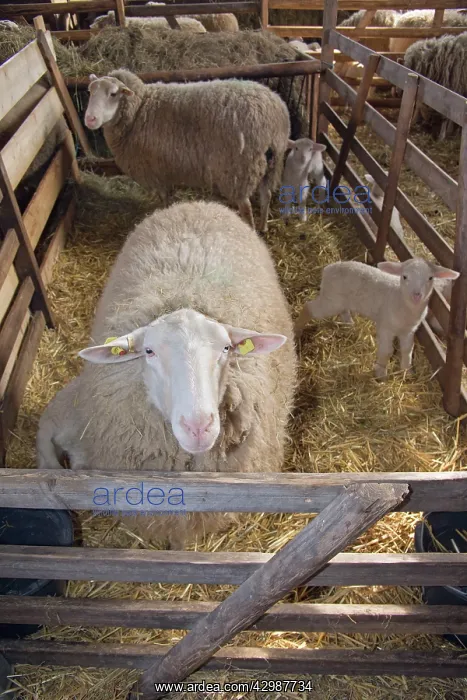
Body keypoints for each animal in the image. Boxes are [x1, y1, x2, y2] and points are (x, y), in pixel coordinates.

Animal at [84, 69, 290, 233]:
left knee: (246, 207)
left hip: (239, 169)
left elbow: (164, 199)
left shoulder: (156, 171)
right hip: (271, 162)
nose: (90, 119)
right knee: (266, 195)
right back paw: (264, 227)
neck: (139, 110)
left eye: (113, 94)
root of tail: (274, 115)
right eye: (90, 91)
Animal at [295, 258, 458, 379]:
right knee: (309, 308)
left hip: (340, 299)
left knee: (343, 310)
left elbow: (407, 350)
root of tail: (329, 268)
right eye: (405, 277)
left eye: (430, 278)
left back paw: (349, 324)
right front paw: (381, 374)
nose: (417, 295)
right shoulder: (385, 327)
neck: (400, 300)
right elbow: (387, 351)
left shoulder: (409, 331)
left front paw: (407, 371)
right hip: (330, 300)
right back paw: (296, 331)